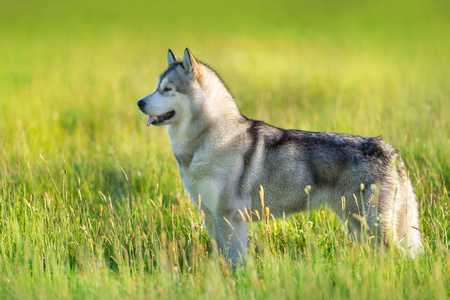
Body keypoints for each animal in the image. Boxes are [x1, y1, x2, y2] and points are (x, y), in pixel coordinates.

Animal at [137, 47, 422, 264]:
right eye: (156, 87)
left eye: (167, 89)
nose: (139, 103)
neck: (206, 140)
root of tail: (389, 150)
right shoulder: (210, 215)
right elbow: (221, 259)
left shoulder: (230, 217)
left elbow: (236, 260)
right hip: (357, 225)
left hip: (371, 225)